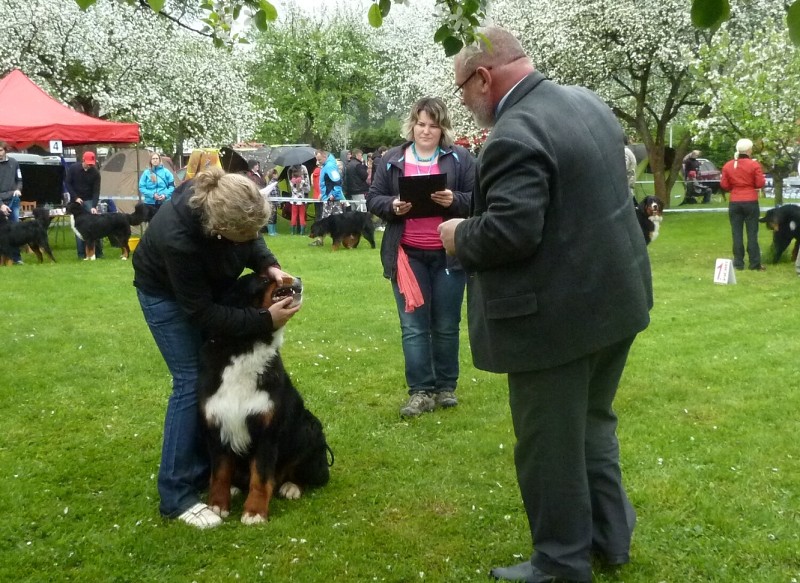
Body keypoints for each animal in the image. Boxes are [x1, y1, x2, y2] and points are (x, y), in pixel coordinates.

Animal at [198, 274, 332, 524]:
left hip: (310, 429)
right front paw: (217, 505)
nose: (297, 277)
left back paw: (291, 487)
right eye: (263, 278)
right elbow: (219, 472)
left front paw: (254, 512)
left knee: (310, 475)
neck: (246, 348)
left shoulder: (267, 432)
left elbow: (260, 478)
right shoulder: (216, 425)